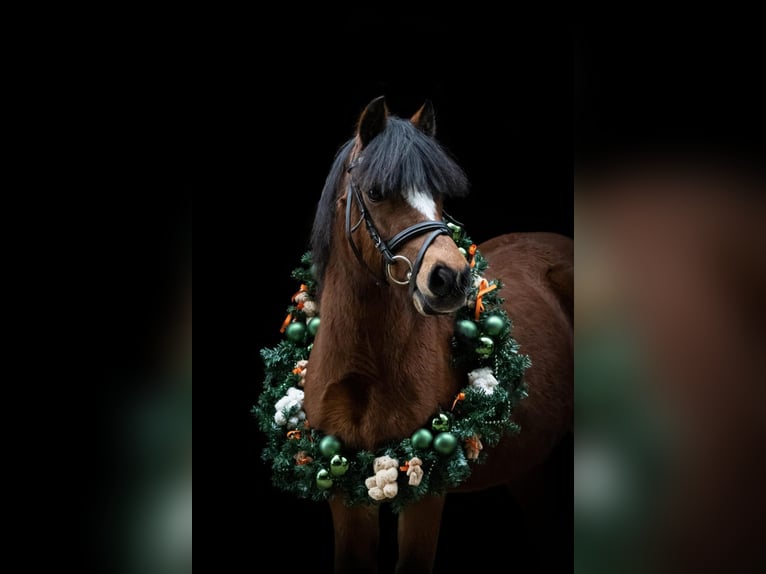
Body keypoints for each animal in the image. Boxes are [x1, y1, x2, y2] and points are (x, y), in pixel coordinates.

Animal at [256, 96, 573, 573]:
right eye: (375, 193)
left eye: (438, 195)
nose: (451, 278)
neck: (367, 366)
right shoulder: (345, 495)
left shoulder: (426, 496)